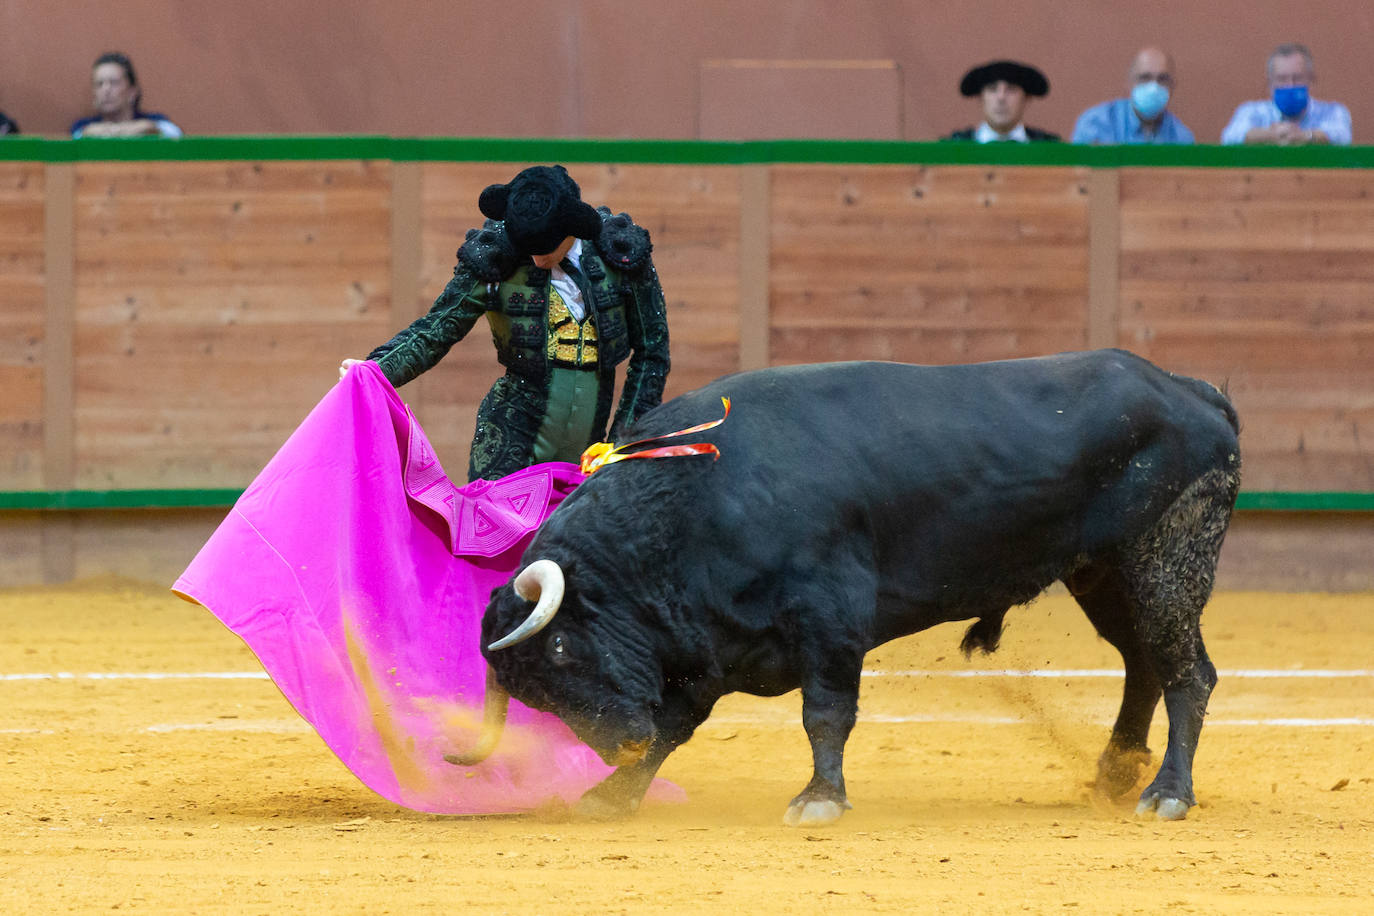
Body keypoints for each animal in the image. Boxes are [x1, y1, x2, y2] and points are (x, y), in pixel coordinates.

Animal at [453, 348, 1247, 823]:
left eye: (562, 651)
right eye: (537, 697)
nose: (616, 743)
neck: (690, 503)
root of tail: (1193, 392)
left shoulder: (830, 619)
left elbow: (825, 714)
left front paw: (820, 799)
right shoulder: (706, 649)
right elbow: (674, 727)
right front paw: (611, 794)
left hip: (1167, 555)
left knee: (1189, 672)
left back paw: (1167, 793)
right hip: (1105, 571)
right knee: (1144, 660)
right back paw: (1116, 773)